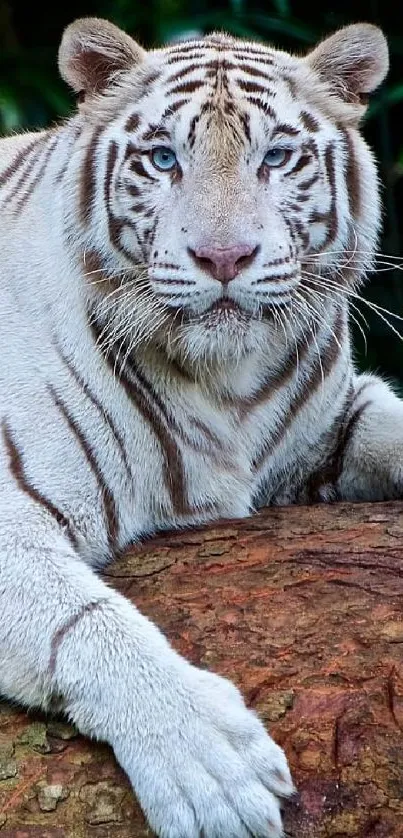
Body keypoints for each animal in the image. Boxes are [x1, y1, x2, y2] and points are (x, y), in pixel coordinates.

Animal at [0, 18, 398, 838]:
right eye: (163, 159)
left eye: (275, 157)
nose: (223, 256)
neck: (225, 388)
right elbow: (85, 622)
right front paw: (210, 766)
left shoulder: (329, 427)